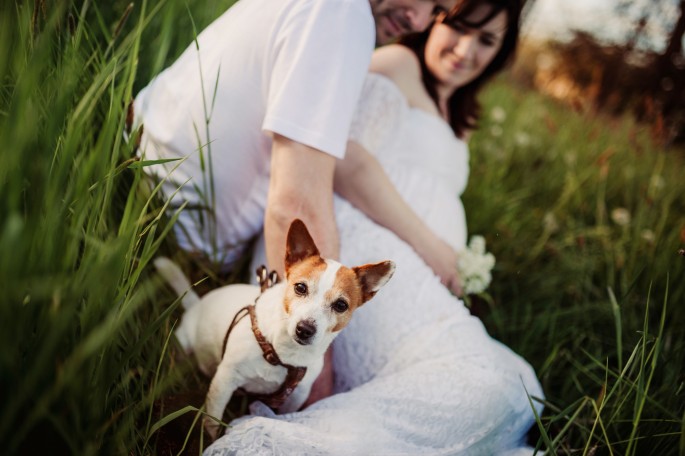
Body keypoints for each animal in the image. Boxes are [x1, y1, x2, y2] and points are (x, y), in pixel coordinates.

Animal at [155, 219, 396, 440]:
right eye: (300, 287)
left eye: (341, 305)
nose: (304, 329)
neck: (281, 353)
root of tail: (196, 304)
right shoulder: (224, 382)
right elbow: (212, 421)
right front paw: (210, 440)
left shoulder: (296, 395)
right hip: (184, 344)